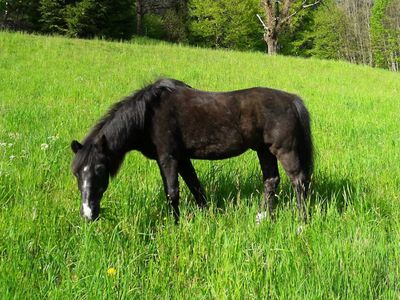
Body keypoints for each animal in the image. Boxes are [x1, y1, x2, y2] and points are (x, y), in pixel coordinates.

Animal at [71, 78, 312, 224]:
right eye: (76, 173)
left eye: (100, 169)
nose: (88, 214)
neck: (148, 115)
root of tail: (292, 100)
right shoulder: (183, 159)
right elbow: (196, 187)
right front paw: (208, 216)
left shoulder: (168, 158)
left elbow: (172, 192)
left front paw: (175, 224)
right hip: (264, 150)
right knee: (271, 181)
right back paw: (263, 218)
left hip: (285, 151)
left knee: (298, 182)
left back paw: (302, 223)